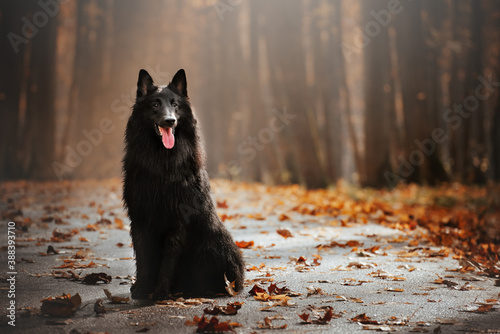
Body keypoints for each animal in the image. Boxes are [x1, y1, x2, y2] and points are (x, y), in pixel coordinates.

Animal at [123, 69, 244, 298]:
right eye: (155, 104)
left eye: (175, 104)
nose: (169, 120)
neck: (162, 161)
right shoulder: (141, 219)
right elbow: (144, 260)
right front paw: (142, 289)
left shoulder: (178, 222)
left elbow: (167, 262)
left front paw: (160, 293)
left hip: (214, 244)